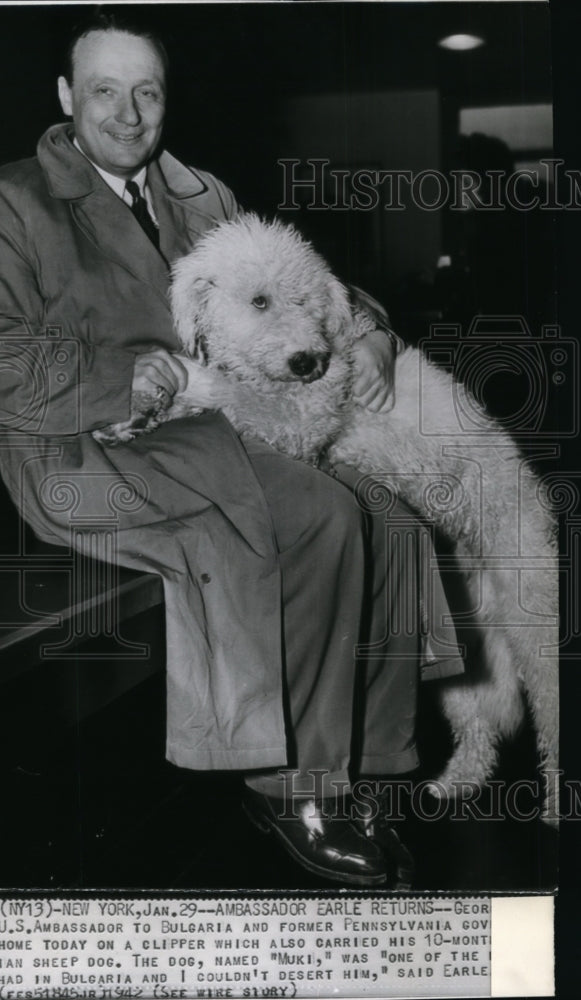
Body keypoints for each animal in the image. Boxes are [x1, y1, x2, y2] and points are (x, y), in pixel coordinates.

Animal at [96, 215, 560, 824]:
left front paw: (172, 383)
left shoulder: (293, 417)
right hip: (470, 638)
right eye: (260, 300)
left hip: (534, 618)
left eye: (305, 301)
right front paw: (134, 417)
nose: (305, 362)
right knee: (479, 725)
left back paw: (556, 803)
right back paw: (456, 783)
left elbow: (225, 391)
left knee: (554, 714)